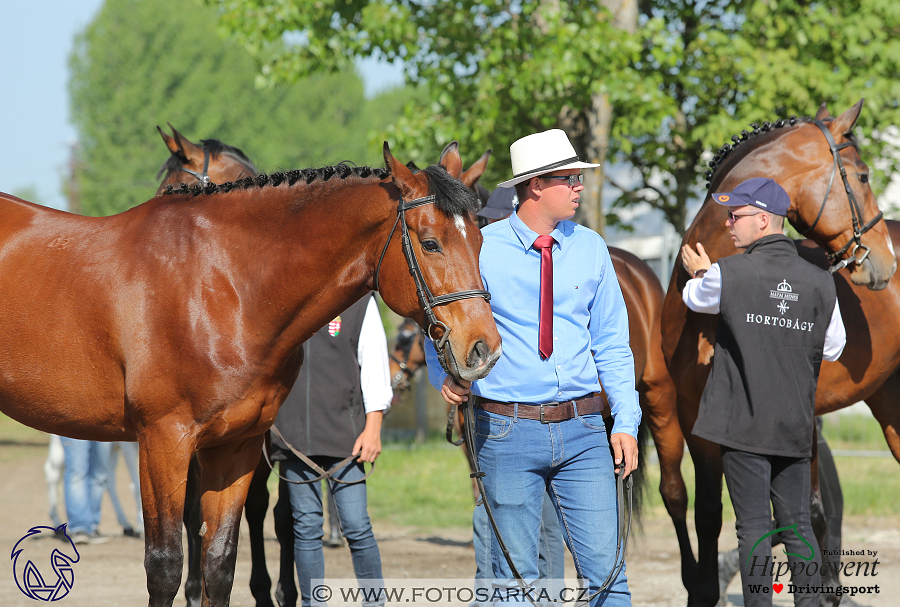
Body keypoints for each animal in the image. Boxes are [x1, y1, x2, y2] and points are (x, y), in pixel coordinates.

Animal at [0, 139, 500, 607]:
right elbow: (164, 566)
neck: (219, 285)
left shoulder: (235, 447)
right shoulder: (163, 441)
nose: (484, 350)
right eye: (430, 243)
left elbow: (220, 561)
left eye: (480, 240)